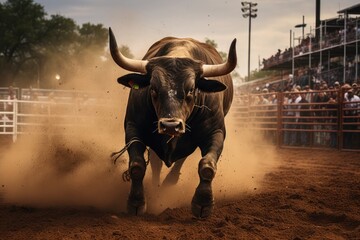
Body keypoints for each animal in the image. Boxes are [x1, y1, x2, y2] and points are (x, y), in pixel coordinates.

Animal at [109, 27, 236, 218]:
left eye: (191, 90)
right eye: (153, 89)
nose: (170, 126)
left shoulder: (216, 132)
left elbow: (207, 167)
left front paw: (203, 204)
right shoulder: (133, 128)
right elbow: (137, 166)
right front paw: (136, 203)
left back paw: (170, 182)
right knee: (156, 164)